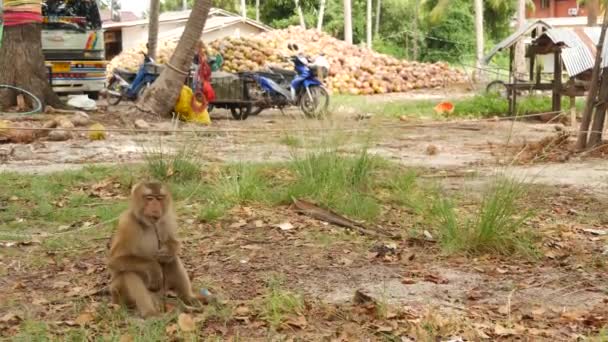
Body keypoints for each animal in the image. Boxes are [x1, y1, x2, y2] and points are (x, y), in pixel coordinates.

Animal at [107, 182, 197, 318]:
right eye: (149, 198)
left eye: (159, 198)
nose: (155, 208)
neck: (149, 224)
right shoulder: (127, 223)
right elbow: (114, 261)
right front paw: (153, 267)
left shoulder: (168, 217)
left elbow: (172, 243)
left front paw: (168, 250)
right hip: (118, 293)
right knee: (128, 272)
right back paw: (150, 313)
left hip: (163, 290)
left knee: (171, 260)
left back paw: (189, 298)